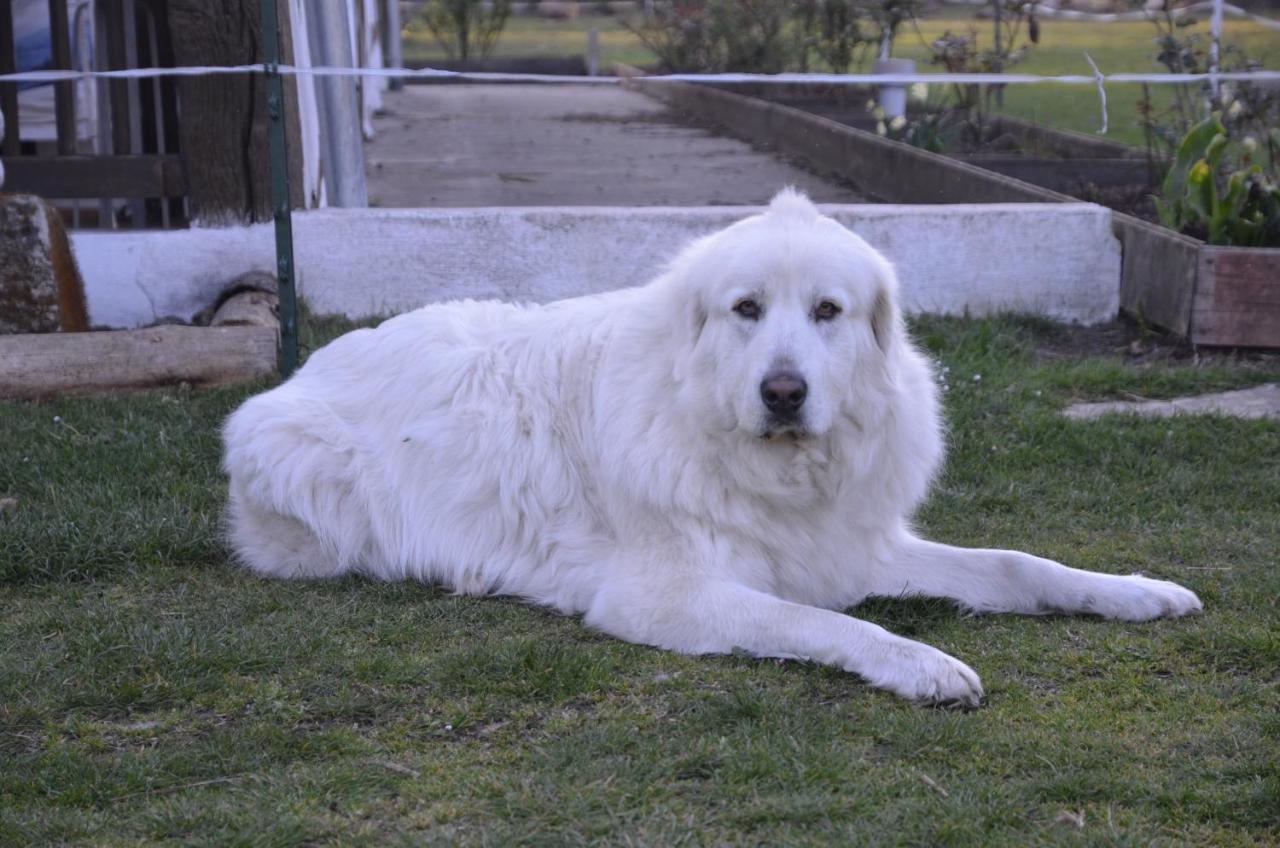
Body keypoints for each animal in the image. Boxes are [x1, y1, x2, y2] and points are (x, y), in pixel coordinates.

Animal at [225, 189, 1203, 707]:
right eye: (746, 309)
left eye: (827, 311)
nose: (783, 393)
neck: (771, 467)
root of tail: (302, 366)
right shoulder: (666, 594)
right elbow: (826, 624)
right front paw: (920, 663)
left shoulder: (854, 547)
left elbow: (1016, 564)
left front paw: (1134, 592)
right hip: (312, 484)